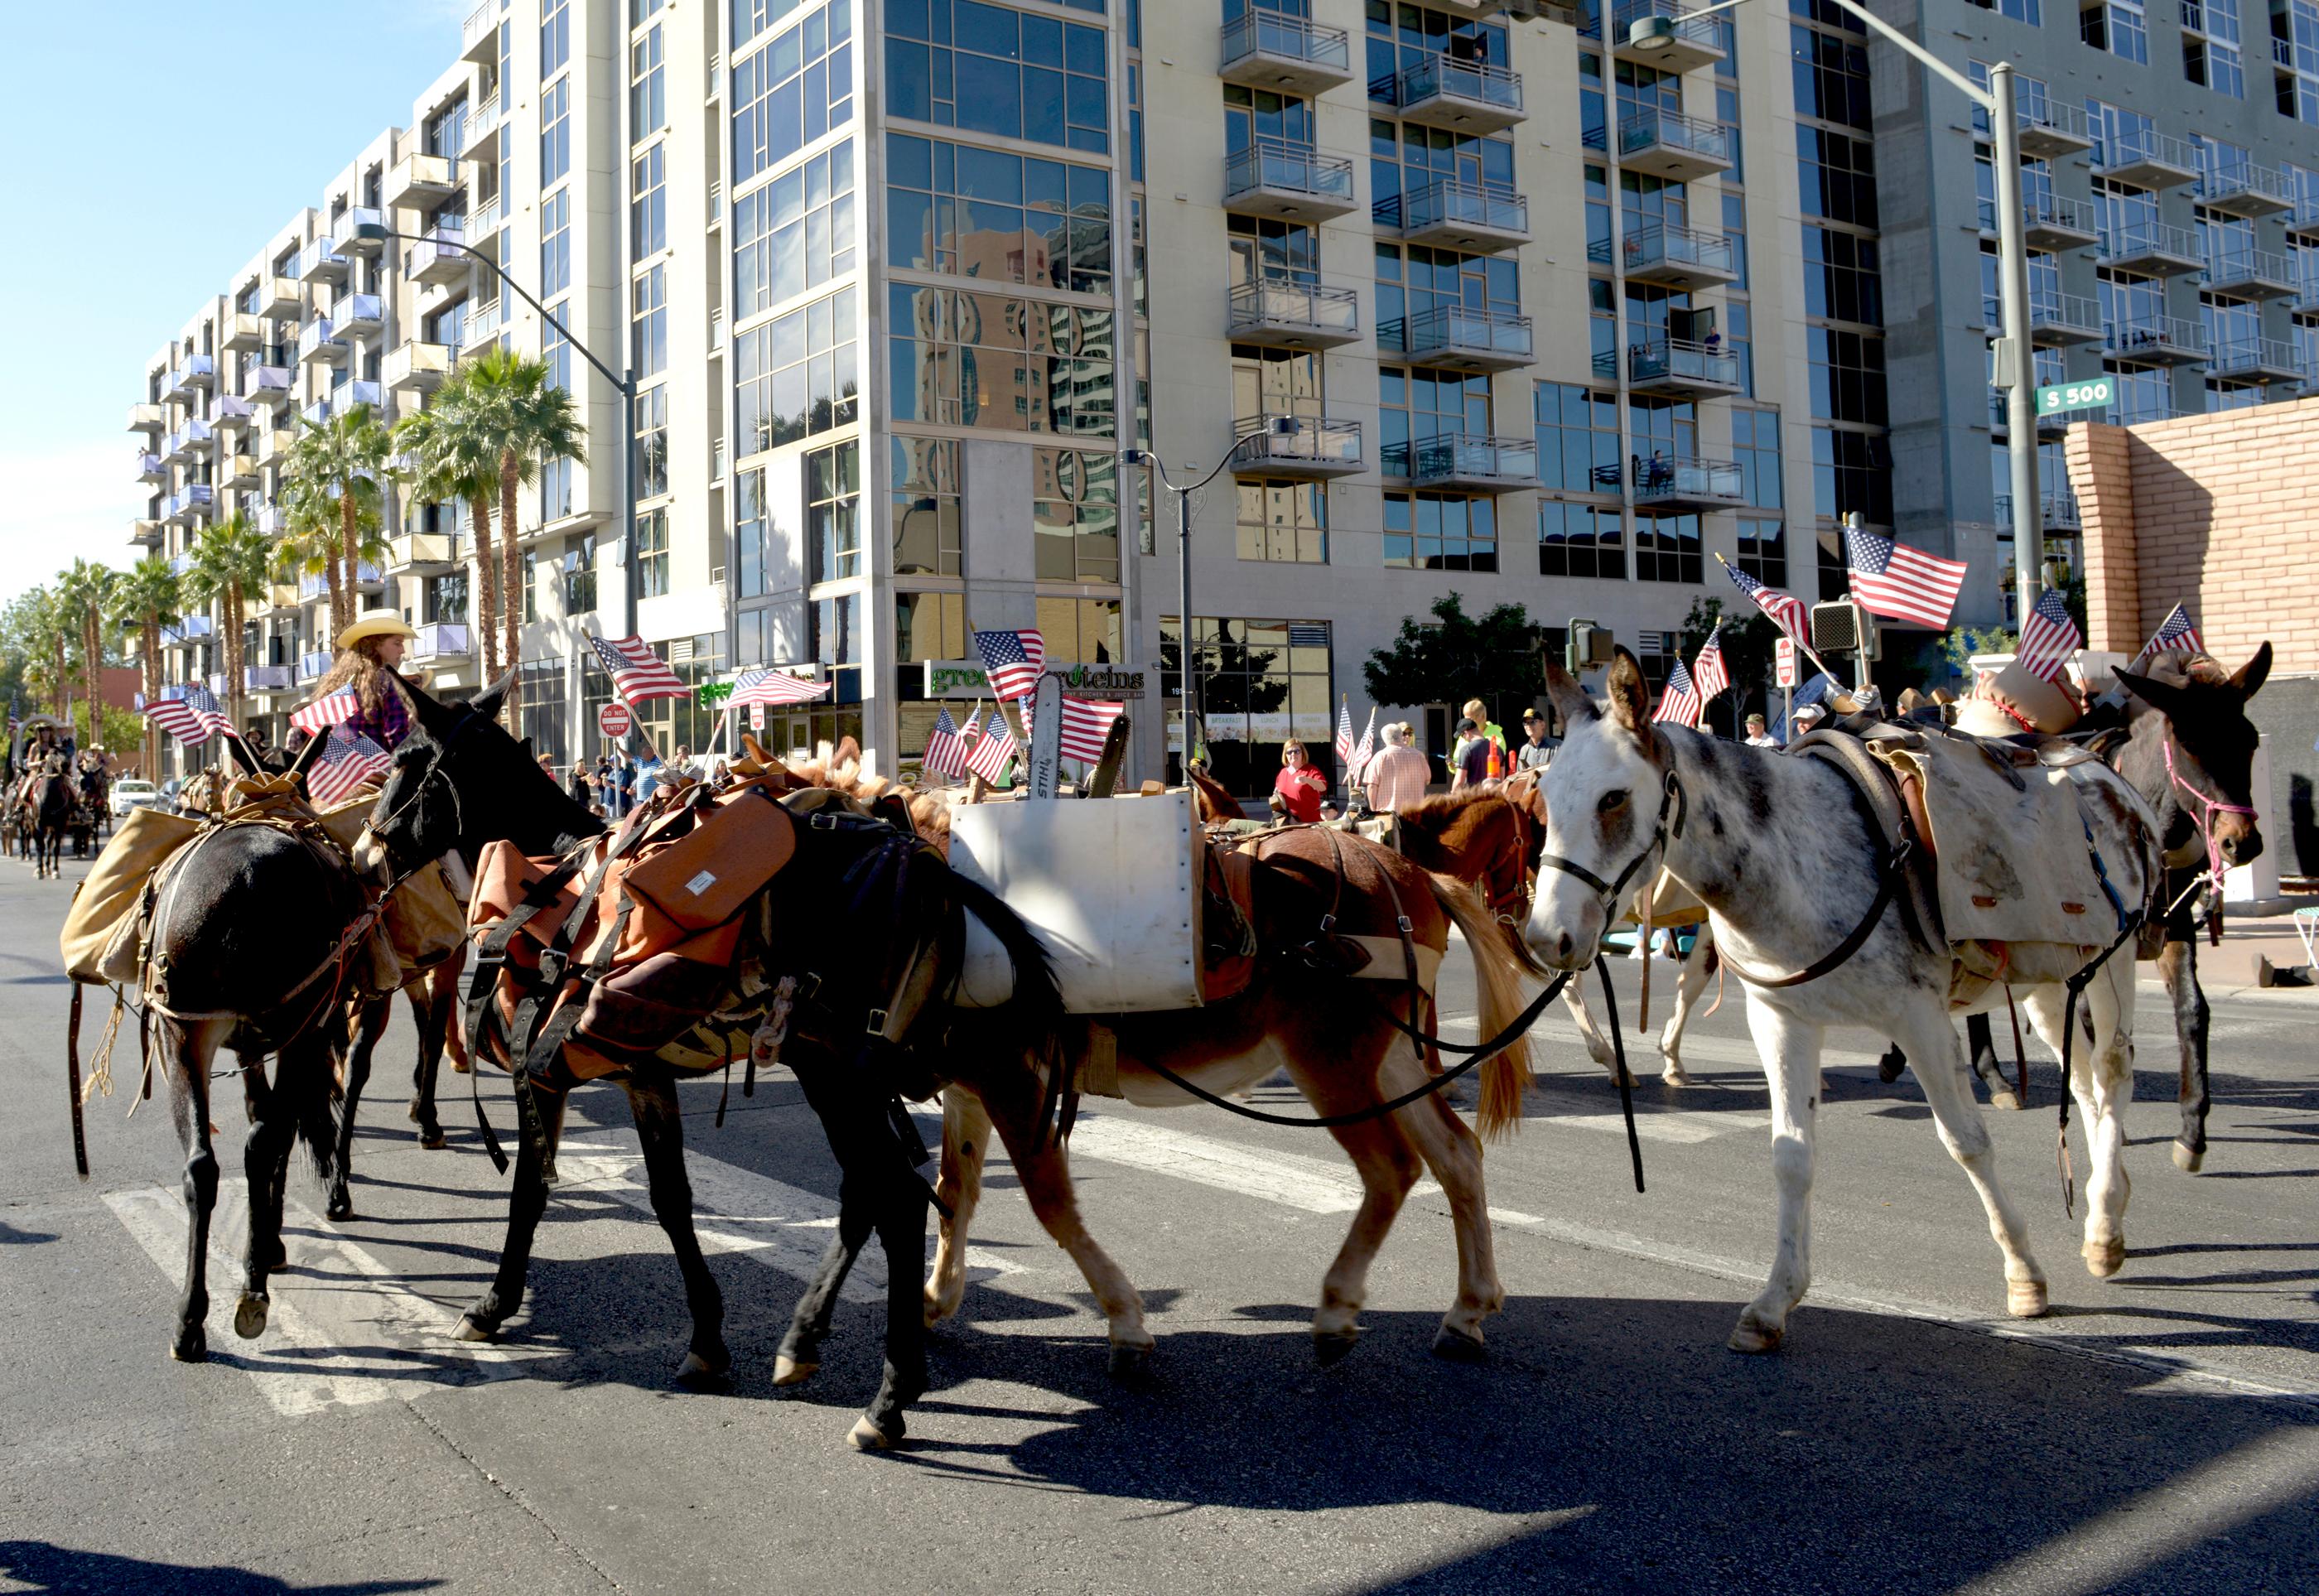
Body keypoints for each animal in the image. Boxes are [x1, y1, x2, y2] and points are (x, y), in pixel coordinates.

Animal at [133, 728, 361, 1354]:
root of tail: (244, 879)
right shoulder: (291, 1038)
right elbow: (274, 1128)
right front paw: (273, 1242)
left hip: (183, 1033)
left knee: (203, 1167)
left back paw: (193, 1315)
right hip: (288, 1026)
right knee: (262, 1146)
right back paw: (252, 1288)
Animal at [350, 677, 1062, 1456]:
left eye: (401, 761)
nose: (362, 854)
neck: (552, 878)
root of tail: (921, 863)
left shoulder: (539, 1075)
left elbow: (530, 1191)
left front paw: (492, 1303)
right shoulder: (643, 1078)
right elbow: (671, 1199)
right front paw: (708, 1338)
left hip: (834, 1070)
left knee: (896, 1199)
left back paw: (888, 1397)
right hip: (840, 1072)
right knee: (866, 1193)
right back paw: (805, 1341)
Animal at [1521, 653, 2152, 1354]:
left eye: (1613, 798)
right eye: (1544, 797)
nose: (1546, 937)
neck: (1797, 866)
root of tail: (2099, 768)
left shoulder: (1919, 1019)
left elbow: (1967, 1142)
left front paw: (2023, 1272)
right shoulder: (1782, 1020)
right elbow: (1791, 1155)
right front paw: (1774, 1301)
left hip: (2113, 964)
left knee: (2112, 1074)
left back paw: (2104, 1223)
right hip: (2047, 984)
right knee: (2088, 1088)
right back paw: (2108, 1202)